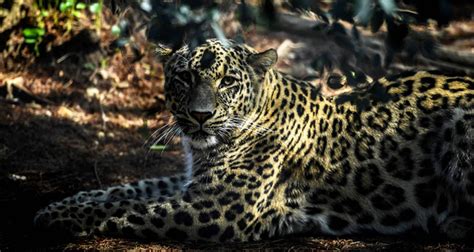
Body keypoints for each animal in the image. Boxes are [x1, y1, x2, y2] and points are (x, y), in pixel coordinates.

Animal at [34, 39, 474, 242]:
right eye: (184, 78)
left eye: (227, 82)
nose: (200, 116)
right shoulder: (193, 183)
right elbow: (125, 190)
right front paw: (64, 203)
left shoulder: (215, 208)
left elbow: (129, 210)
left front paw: (60, 218)